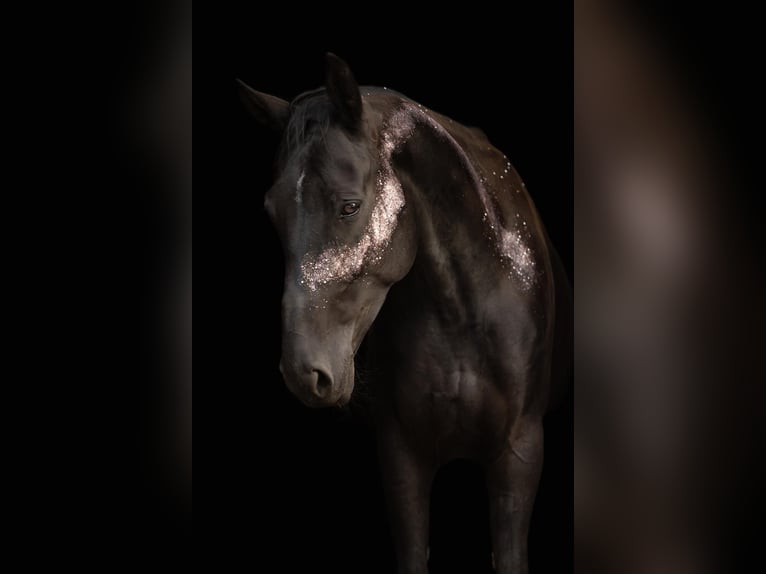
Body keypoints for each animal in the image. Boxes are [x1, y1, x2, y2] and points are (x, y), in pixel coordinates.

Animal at [238, 53, 571, 574]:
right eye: (273, 213)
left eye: (349, 206)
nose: (303, 372)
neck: (461, 312)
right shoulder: (402, 457)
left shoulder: (519, 455)